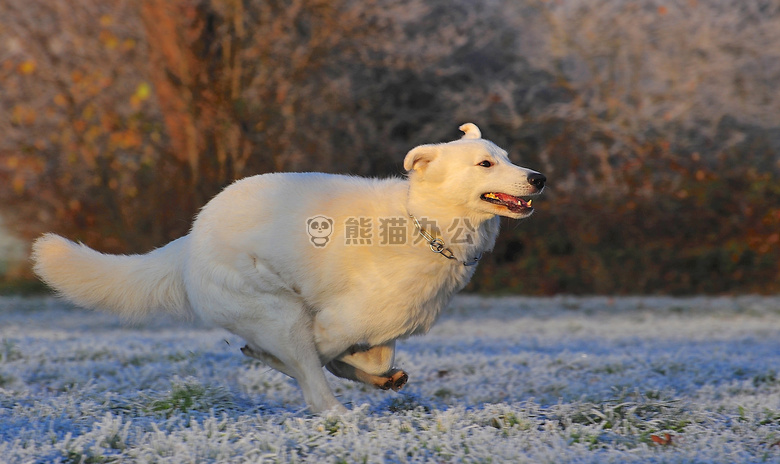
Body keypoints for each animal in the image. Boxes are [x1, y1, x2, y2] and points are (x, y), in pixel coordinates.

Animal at [30, 124, 544, 414]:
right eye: (485, 163)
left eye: (508, 157)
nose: (539, 178)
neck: (425, 224)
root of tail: (190, 239)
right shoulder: (333, 322)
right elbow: (318, 358)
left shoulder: (380, 327)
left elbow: (369, 357)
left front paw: (378, 375)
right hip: (281, 313)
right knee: (313, 387)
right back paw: (340, 413)